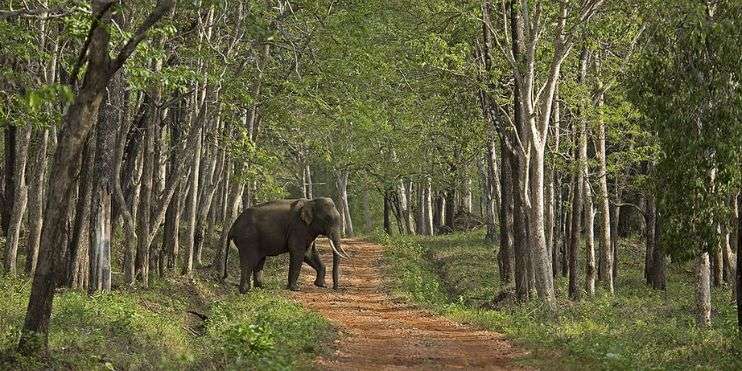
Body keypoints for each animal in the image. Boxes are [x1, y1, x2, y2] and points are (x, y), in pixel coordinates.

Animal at [224, 198, 352, 294]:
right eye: (327, 219)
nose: (335, 288)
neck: (311, 201)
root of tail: (232, 227)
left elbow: (308, 254)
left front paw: (321, 285)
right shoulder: (298, 227)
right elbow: (298, 252)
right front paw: (295, 289)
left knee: (259, 261)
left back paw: (261, 287)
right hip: (248, 239)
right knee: (248, 261)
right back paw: (245, 291)